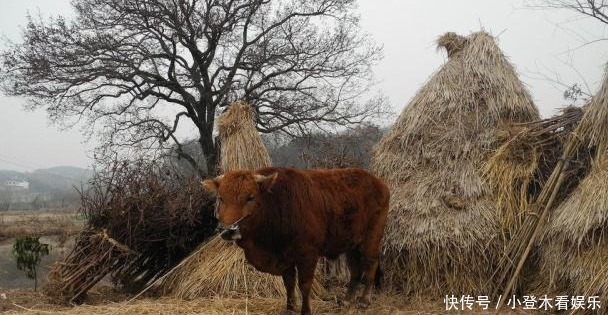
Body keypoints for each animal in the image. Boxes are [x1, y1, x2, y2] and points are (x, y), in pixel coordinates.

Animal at [202, 167, 388, 314]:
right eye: (221, 197)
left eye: (250, 197)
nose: (227, 230)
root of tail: (378, 182)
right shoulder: (285, 259)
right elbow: (289, 284)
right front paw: (290, 308)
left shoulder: (308, 256)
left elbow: (304, 285)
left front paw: (305, 310)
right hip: (351, 245)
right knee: (355, 271)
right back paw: (347, 300)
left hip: (370, 240)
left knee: (371, 264)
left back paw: (364, 301)